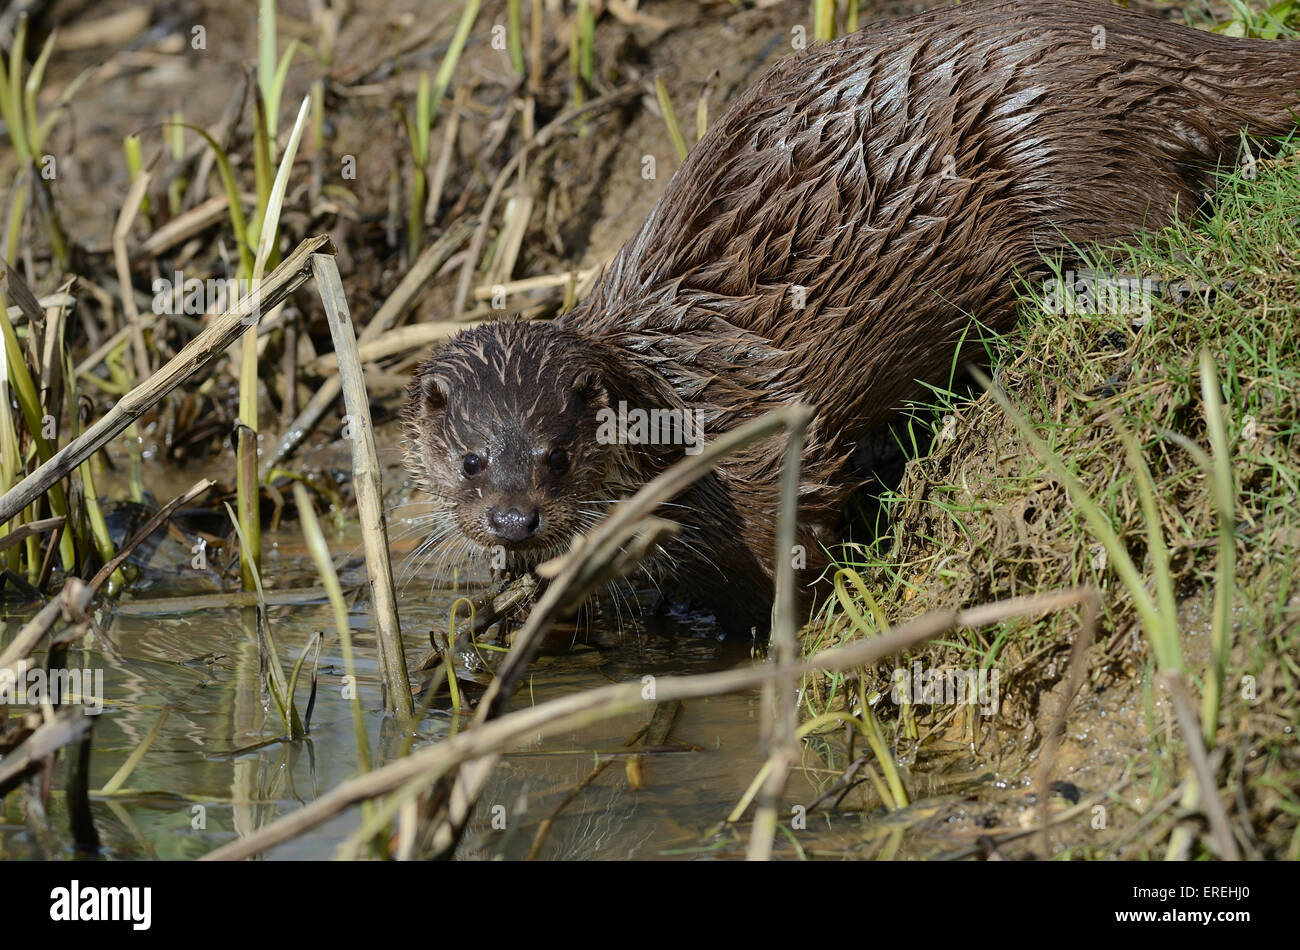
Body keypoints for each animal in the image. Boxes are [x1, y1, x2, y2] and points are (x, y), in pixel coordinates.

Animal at [403, 1, 1300, 639]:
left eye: (557, 457)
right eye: (472, 463)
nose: (513, 520)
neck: (678, 397)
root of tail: (1139, 44)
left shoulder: (755, 456)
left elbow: (788, 540)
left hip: (1064, 152)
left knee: (1162, 209)